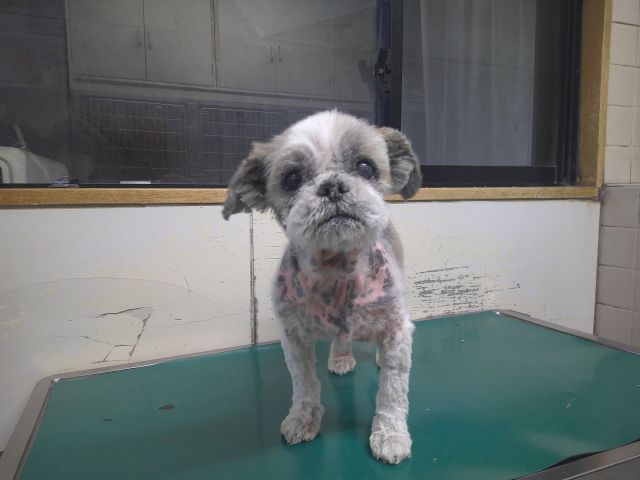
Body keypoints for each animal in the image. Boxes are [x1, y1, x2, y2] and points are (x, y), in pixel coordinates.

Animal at [222, 110, 420, 464]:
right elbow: (303, 384)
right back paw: (340, 357)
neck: (337, 272)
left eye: (365, 167)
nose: (333, 187)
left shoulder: (396, 329)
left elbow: (392, 391)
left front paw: (390, 435)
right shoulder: (293, 336)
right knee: (341, 339)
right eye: (291, 178)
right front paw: (303, 420)